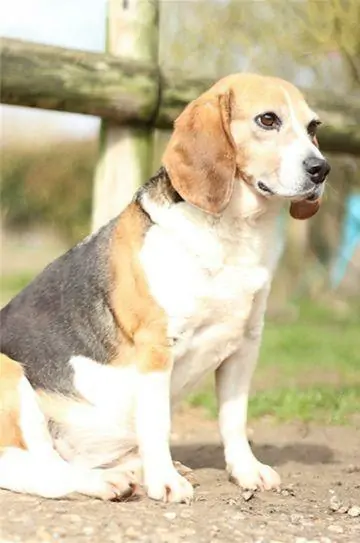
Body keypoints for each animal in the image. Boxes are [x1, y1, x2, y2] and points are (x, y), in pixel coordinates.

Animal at [0, 74, 330, 504]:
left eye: (313, 126)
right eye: (268, 119)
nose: (321, 169)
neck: (232, 234)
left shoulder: (244, 345)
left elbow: (234, 419)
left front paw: (246, 471)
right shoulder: (156, 347)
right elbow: (158, 422)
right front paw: (165, 481)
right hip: (12, 377)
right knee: (31, 468)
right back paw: (108, 481)